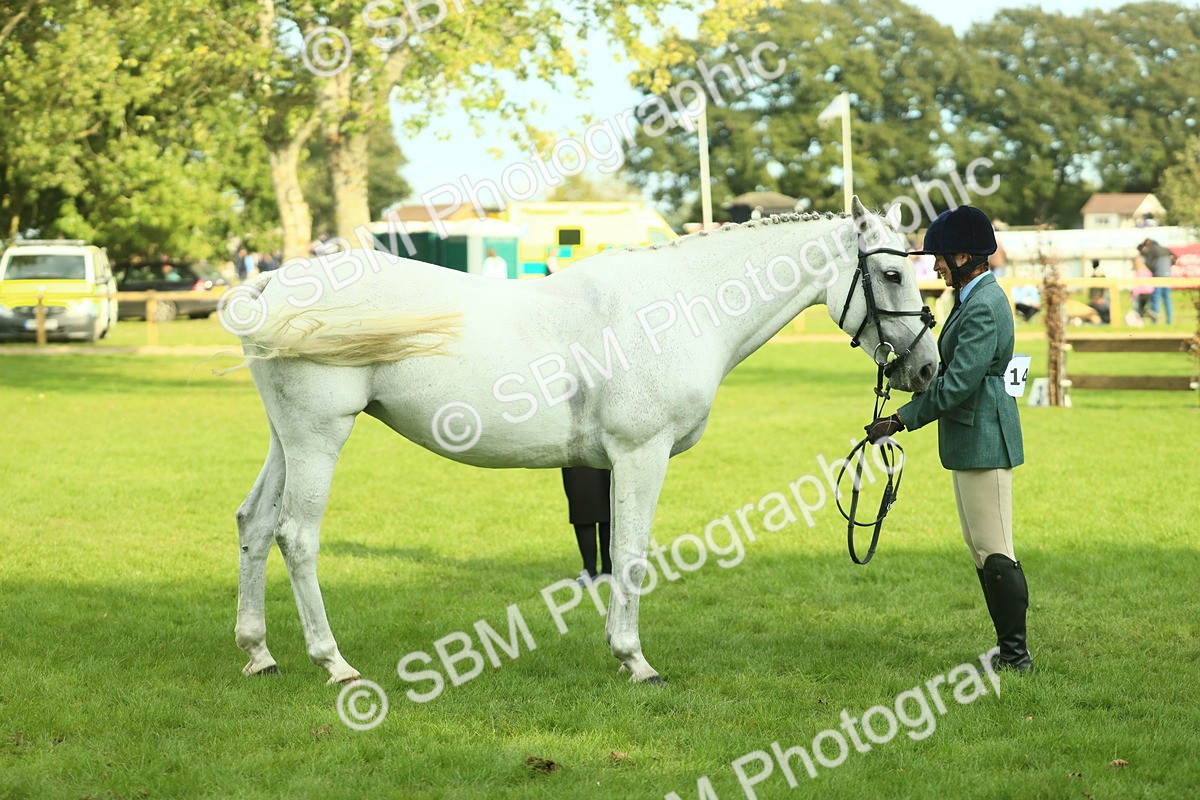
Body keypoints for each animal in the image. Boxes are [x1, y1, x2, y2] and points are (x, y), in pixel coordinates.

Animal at [230, 197, 938, 685]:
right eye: (893, 277)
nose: (927, 368)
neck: (677, 308)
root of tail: (276, 284)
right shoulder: (639, 456)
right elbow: (629, 555)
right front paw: (635, 661)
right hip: (319, 437)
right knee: (297, 536)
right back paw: (334, 663)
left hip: (284, 441)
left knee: (255, 522)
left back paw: (259, 652)